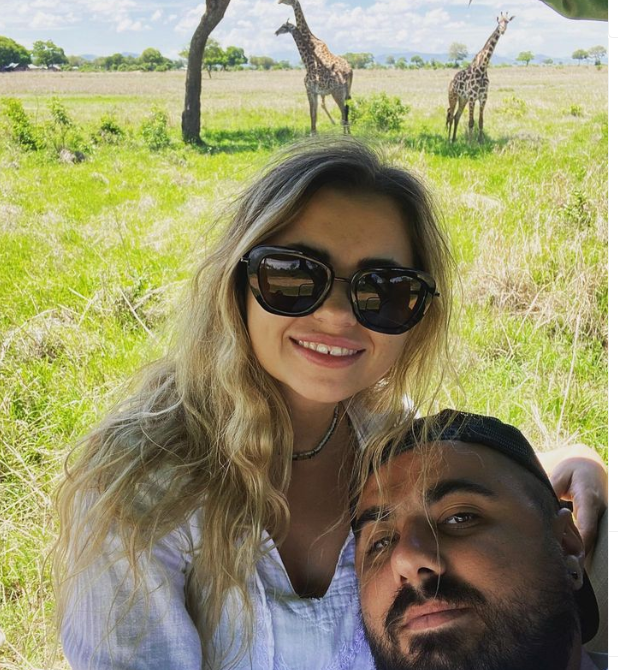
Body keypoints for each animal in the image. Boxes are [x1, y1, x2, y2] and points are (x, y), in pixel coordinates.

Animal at [276, 0, 353, 134]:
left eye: (284, 27)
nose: (276, 32)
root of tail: (350, 71)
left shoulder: (310, 90)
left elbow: (312, 113)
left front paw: (312, 133)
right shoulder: (317, 92)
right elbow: (315, 114)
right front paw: (315, 132)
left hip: (337, 95)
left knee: (344, 112)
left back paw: (344, 133)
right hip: (345, 93)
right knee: (346, 110)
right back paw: (347, 133)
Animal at [446, 12, 515, 142]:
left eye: (507, 21)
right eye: (499, 22)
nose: (502, 30)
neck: (482, 67)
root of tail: (451, 81)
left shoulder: (483, 97)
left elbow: (481, 121)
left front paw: (480, 141)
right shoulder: (473, 97)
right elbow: (471, 122)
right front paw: (470, 143)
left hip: (463, 99)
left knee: (457, 116)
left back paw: (454, 139)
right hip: (453, 96)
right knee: (451, 115)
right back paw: (448, 140)